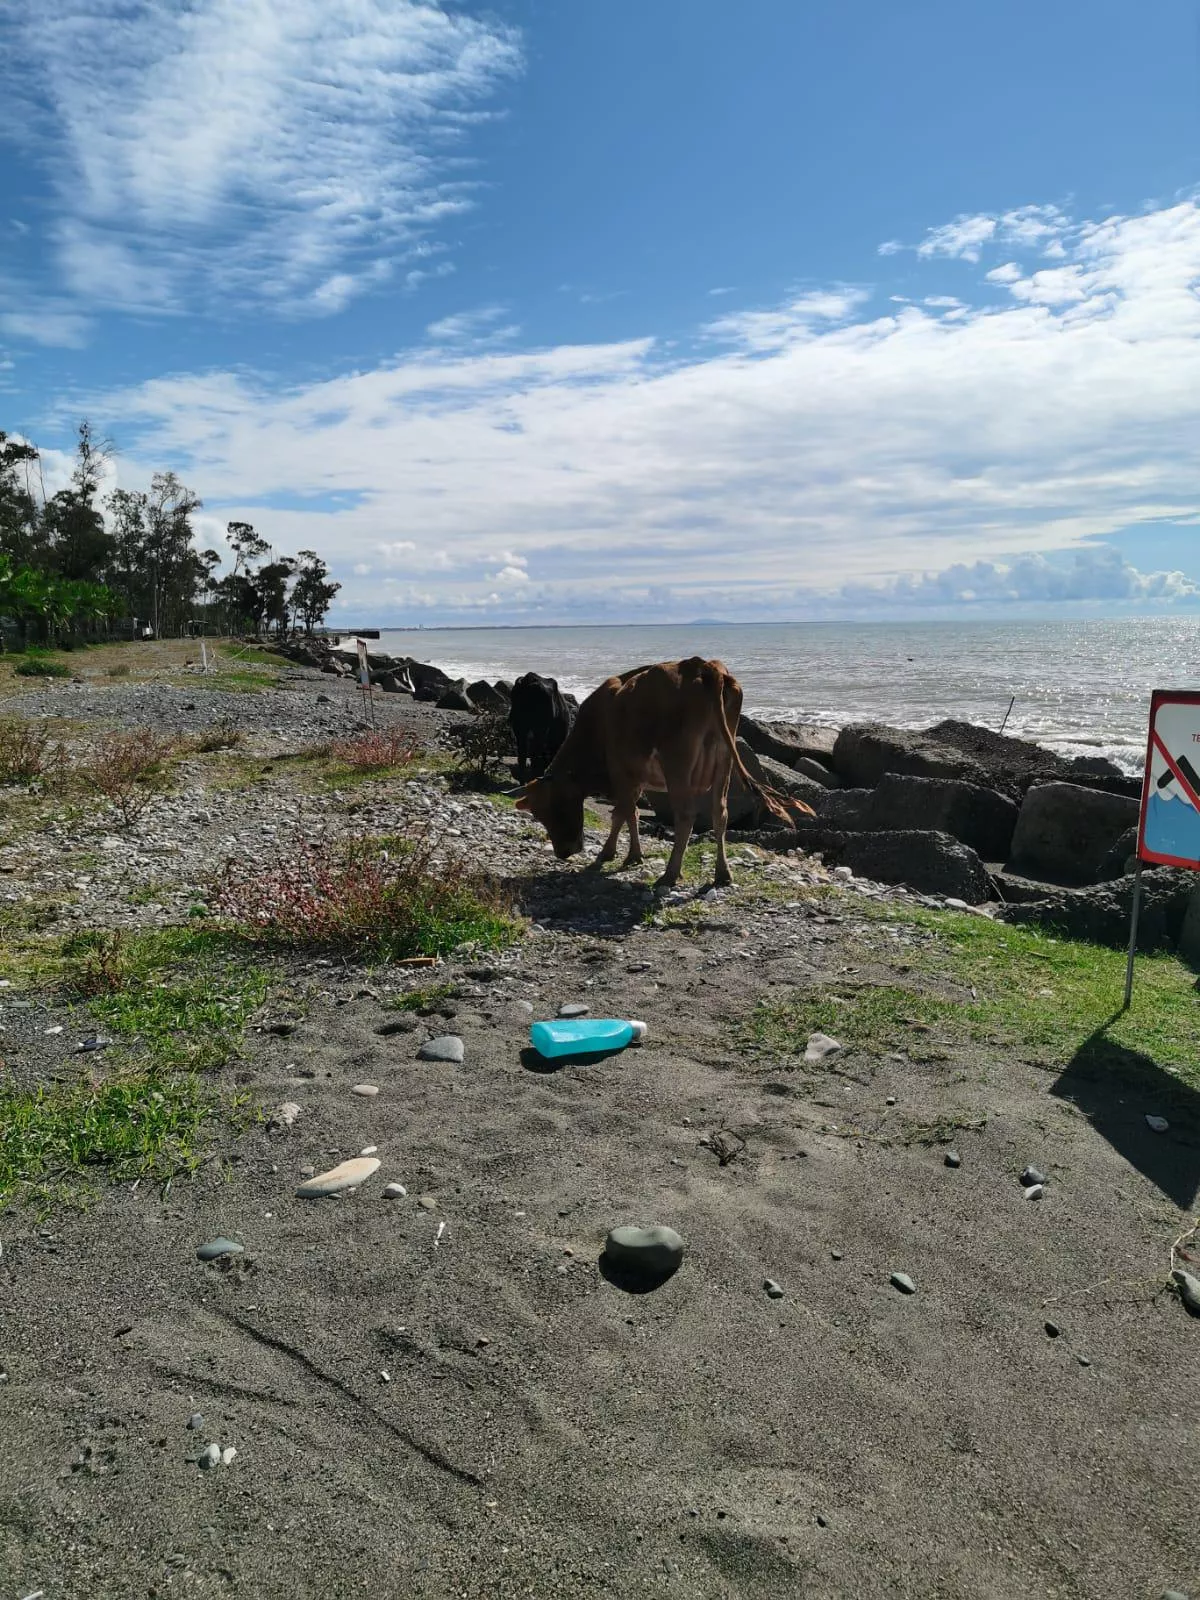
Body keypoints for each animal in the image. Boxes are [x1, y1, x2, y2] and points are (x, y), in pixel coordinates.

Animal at [513, 656, 812, 888]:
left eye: (549, 810)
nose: (563, 852)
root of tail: (706, 666)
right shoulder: (636, 778)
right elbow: (631, 813)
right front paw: (633, 856)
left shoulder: (621, 771)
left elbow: (622, 813)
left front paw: (610, 853)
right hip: (724, 763)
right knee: (720, 813)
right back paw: (722, 873)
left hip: (677, 763)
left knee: (686, 815)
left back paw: (670, 874)